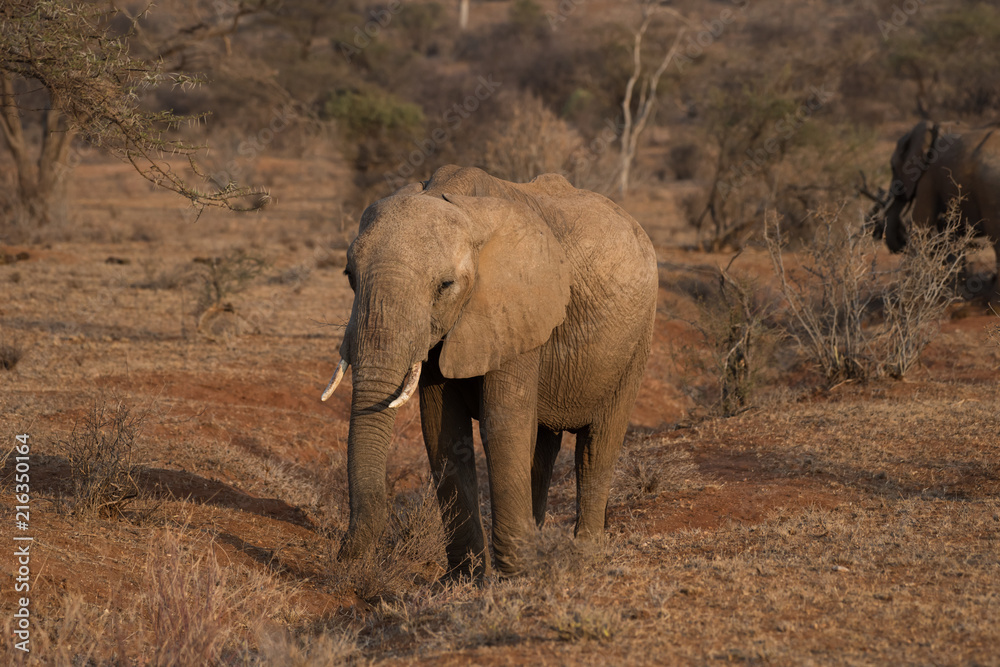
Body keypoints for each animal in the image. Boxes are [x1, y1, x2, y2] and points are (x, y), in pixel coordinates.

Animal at [321, 165, 658, 578]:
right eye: (349, 276)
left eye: (445, 285)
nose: (343, 558)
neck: (461, 203)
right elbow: (443, 429)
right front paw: (464, 582)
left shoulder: (518, 308)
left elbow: (502, 424)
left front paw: (517, 578)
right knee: (542, 446)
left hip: (637, 340)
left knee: (597, 446)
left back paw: (585, 559)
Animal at [867, 120, 1000, 300]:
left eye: (893, 168)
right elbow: (949, 232)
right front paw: (955, 294)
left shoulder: (927, 177)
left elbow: (921, 222)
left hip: (991, 190)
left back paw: (993, 300)